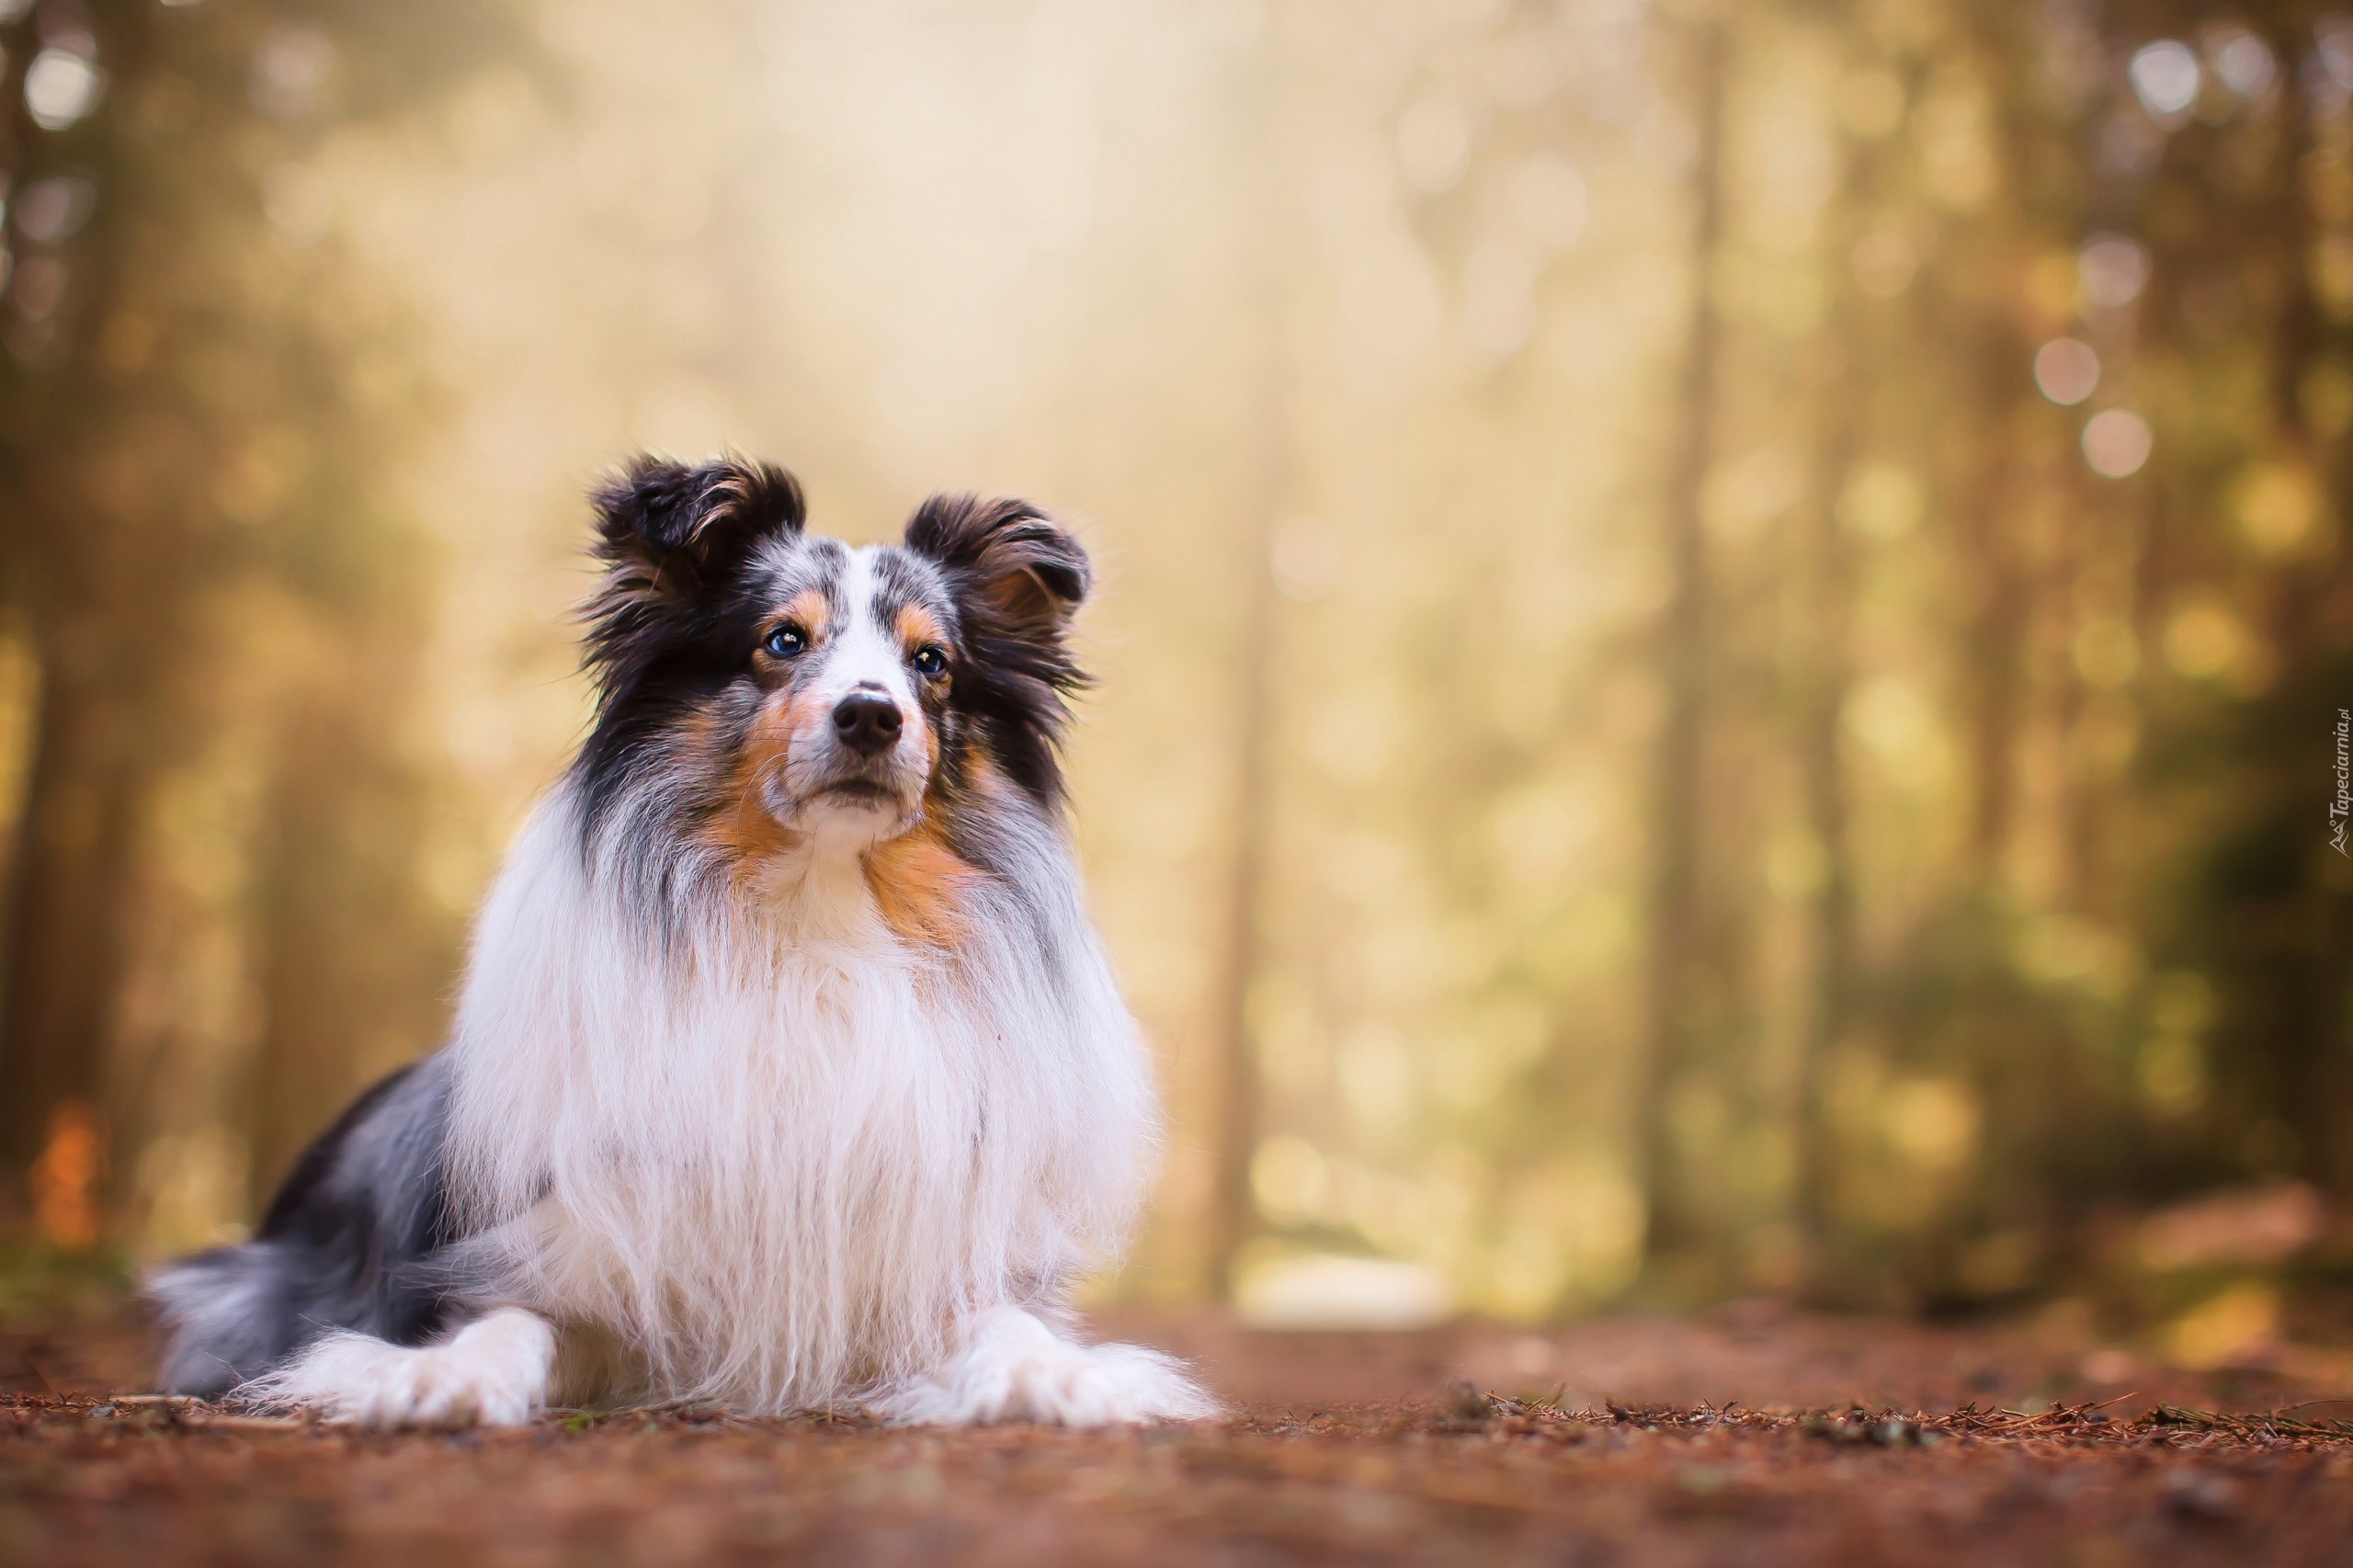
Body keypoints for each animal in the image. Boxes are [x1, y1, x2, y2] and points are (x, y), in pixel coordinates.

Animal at [152, 459, 1213, 1422]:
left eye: (931, 663)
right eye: (782, 639)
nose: (871, 715)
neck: (817, 919)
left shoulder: (910, 1276)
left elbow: (1006, 1323)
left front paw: (1056, 1377)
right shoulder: (559, 1252)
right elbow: (507, 1321)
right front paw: (441, 1377)